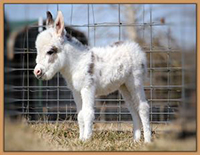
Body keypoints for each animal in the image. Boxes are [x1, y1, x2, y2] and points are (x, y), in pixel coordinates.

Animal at [33, 11, 151, 143]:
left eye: (50, 51)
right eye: (37, 50)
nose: (37, 72)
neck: (77, 63)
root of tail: (135, 46)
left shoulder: (87, 88)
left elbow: (88, 113)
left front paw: (86, 139)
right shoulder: (76, 91)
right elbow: (80, 115)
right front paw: (80, 139)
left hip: (135, 82)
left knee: (143, 107)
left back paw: (147, 141)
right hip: (124, 86)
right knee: (133, 109)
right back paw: (136, 140)